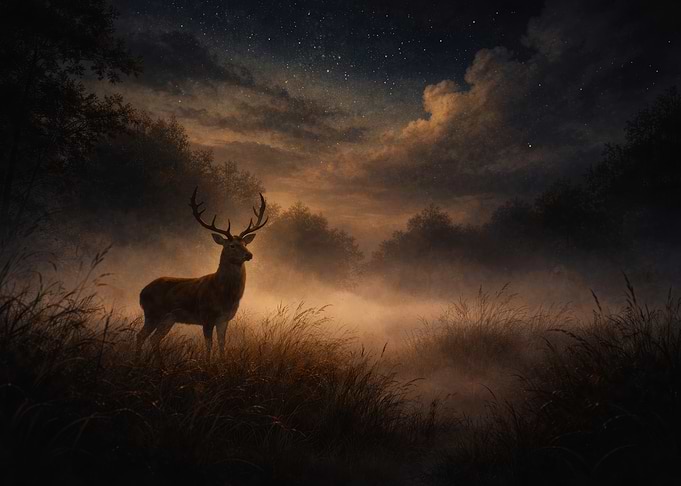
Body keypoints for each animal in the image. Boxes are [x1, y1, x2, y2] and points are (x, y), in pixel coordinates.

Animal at [137, 187, 268, 360]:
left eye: (245, 244)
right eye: (232, 245)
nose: (249, 254)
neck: (224, 294)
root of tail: (141, 292)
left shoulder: (224, 319)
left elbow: (222, 344)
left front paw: (222, 362)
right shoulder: (206, 316)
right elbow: (209, 345)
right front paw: (207, 363)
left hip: (168, 318)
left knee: (154, 339)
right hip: (153, 312)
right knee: (141, 336)